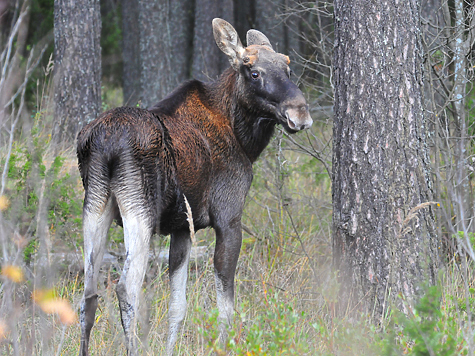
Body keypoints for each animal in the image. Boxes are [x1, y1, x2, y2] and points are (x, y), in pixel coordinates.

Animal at [77, 18, 312, 354]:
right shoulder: (228, 218)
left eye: (288, 68)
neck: (243, 138)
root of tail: (105, 142)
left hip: (96, 202)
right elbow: (225, 306)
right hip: (139, 209)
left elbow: (178, 306)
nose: (300, 113)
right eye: (253, 72)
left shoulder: (181, 228)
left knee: (88, 295)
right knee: (126, 287)